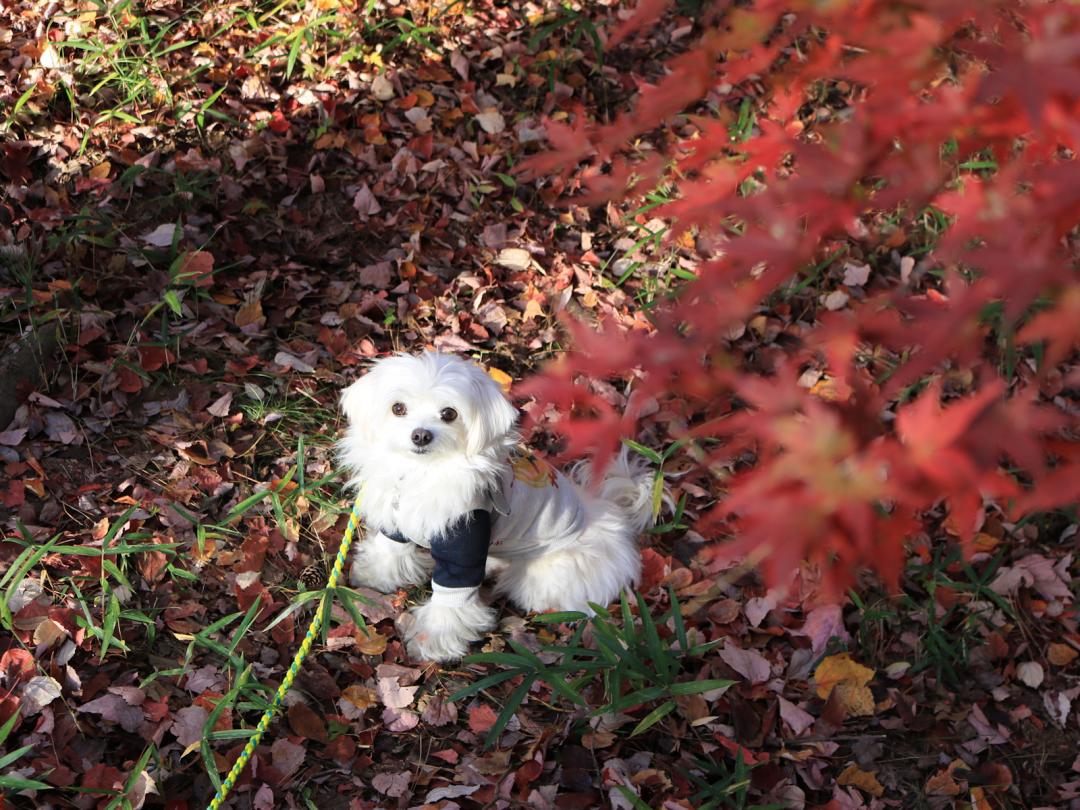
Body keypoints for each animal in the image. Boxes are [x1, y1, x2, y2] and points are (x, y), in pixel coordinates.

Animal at [341, 352, 652, 660]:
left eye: (449, 414)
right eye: (398, 408)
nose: (420, 435)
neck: (423, 471)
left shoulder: (463, 545)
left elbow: (450, 601)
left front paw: (433, 641)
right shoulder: (396, 519)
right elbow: (390, 549)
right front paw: (374, 575)